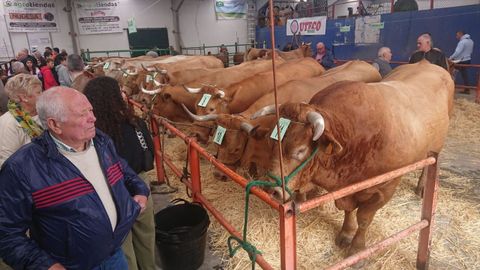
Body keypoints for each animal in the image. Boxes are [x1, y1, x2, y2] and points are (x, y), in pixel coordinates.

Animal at [256, 59, 452, 262]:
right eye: (271, 141)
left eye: (301, 150)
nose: (270, 189)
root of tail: (426, 63)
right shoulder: (346, 189)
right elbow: (349, 210)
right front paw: (346, 233)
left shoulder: (385, 188)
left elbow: (364, 218)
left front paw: (357, 248)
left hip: (435, 148)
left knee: (429, 165)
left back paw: (422, 187)